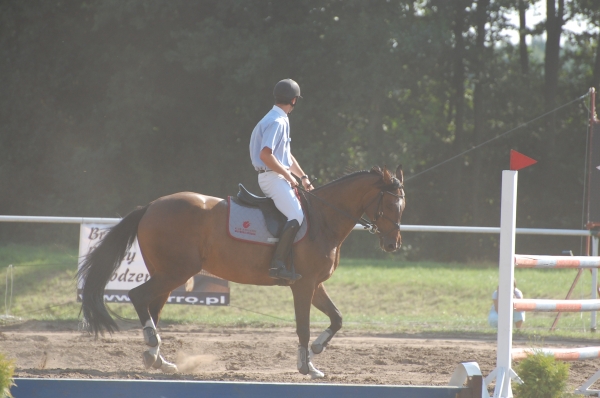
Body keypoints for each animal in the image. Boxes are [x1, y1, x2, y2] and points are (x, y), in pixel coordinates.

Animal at [77, 164, 406, 376]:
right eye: (391, 205)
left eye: (402, 206)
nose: (393, 244)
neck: (323, 219)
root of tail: (150, 206)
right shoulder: (303, 284)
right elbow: (303, 325)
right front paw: (306, 365)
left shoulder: (315, 285)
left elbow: (337, 318)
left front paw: (315, 350)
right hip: (175, 272)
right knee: (137, 297)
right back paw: (152, 346)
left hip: (167, 274)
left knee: (152, 306)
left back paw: (158, 358)